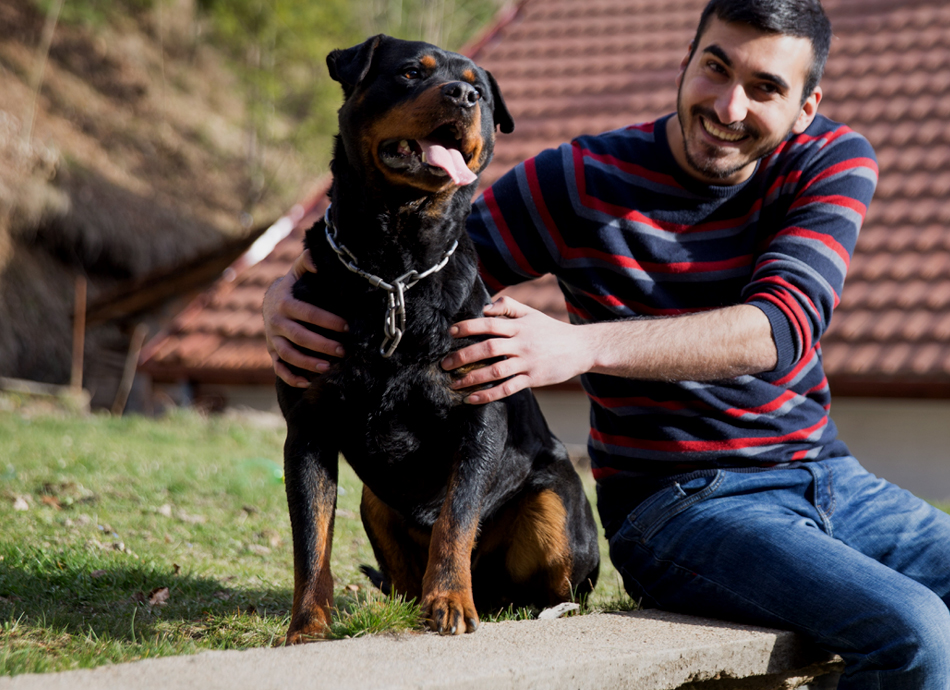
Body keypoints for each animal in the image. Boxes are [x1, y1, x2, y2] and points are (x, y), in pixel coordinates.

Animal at [278, 36, 604, 640]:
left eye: (480, 89)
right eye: (410, 72)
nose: (464, 95)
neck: (396, 270)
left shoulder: (479, 417)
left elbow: (456, 519)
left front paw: (450, 601)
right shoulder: (309, 429)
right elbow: (312, 539)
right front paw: (307, 627)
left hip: (556, 507)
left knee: (553, 583)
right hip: (375, 500)